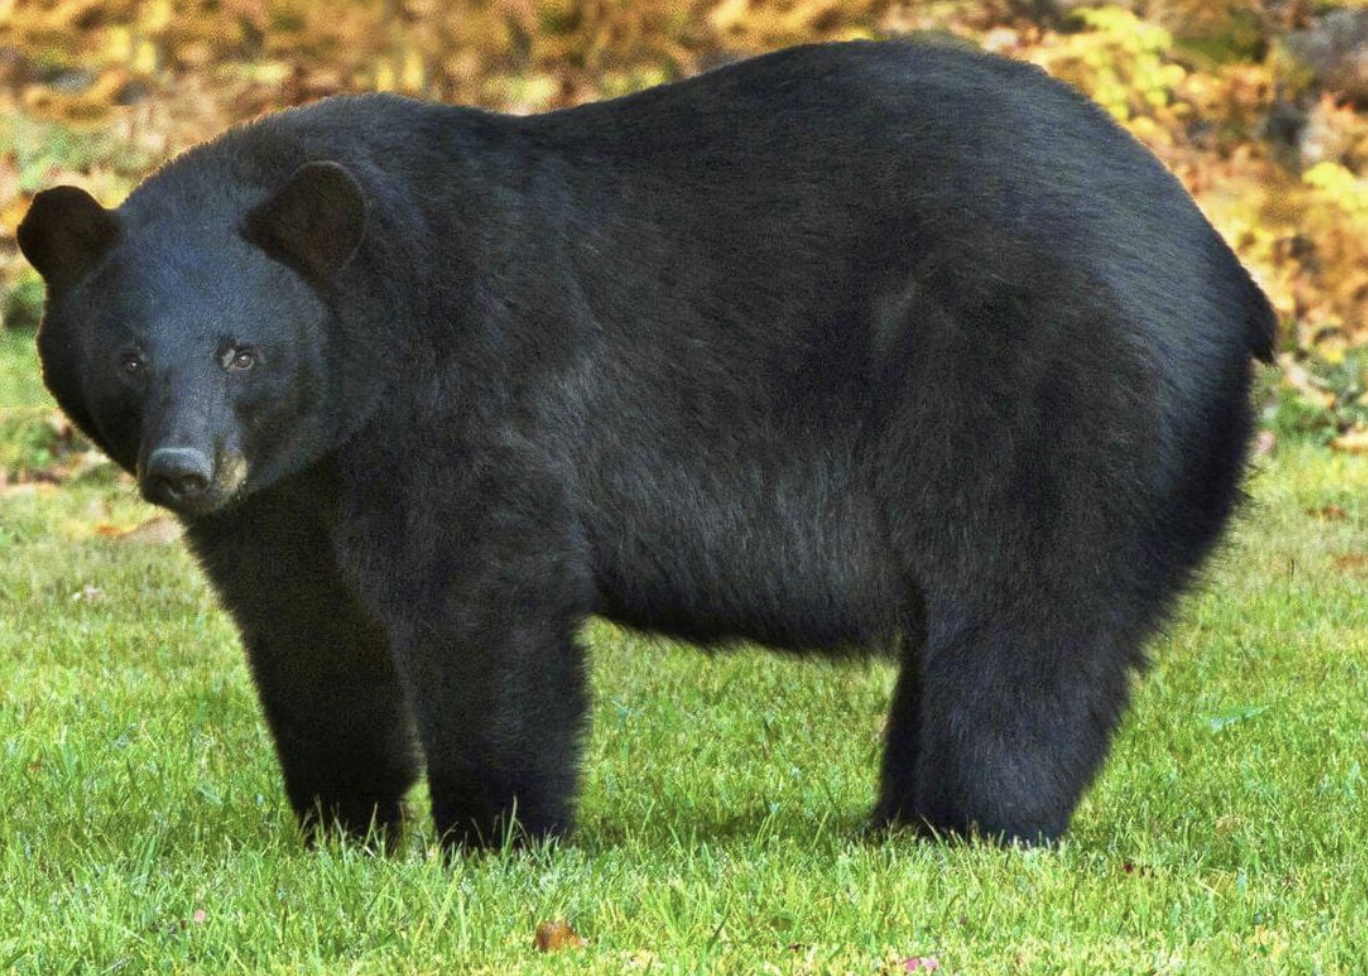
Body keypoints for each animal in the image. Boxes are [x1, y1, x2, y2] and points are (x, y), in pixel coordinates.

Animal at [17, 39, 1275, 849]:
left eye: (241, 352)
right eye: (129, 360)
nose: (186, 471)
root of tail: (1226, 271)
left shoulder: (464, 392)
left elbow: (484, 599)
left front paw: (496, 835)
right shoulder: (292, 493)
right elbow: (309, 630)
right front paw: (344, 826)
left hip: (1058, 389)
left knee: (1026, 621)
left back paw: (968, 826)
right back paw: (892, 822)